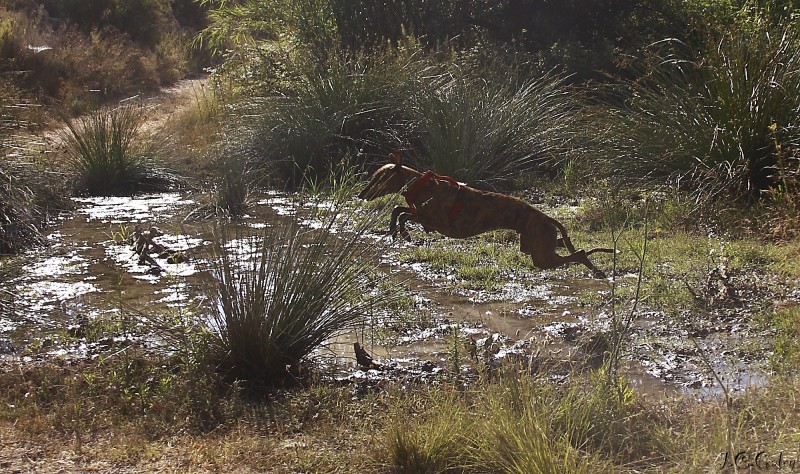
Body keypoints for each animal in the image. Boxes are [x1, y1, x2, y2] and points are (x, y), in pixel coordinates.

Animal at [360, 152, 616, 278]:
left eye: (378, 178)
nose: (361, 194)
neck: (420, 185)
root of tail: (547, 217)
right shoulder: (424, 216)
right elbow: (399, 210)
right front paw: (394, 230)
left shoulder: (436, 221)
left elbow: (404, 213)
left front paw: (403, 232)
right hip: (534, 246)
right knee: (568, 246)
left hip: (541, 256)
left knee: (578, 253)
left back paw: (594, 268)